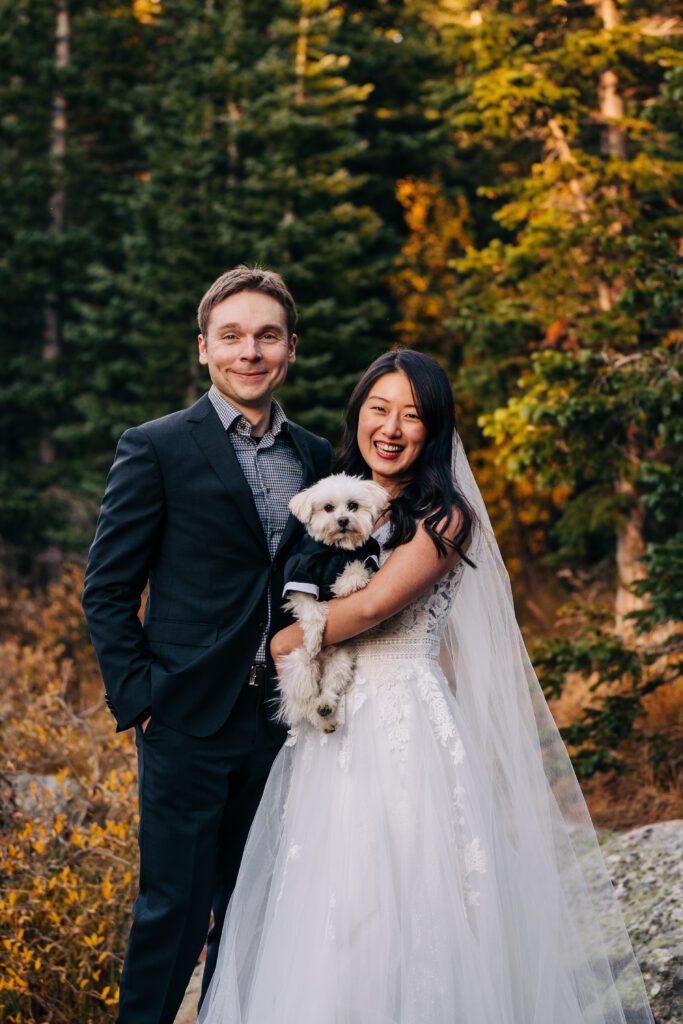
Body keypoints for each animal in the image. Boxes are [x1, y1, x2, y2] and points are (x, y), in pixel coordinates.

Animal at [274, 475, 387, 733]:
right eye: (328, 508)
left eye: (353, 506)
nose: (343, 519)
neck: (336, 549)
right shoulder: (300, 574)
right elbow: (312, 610)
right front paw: (314, 639)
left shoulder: (367, 555)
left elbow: (358, 567)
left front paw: (345, 584)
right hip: (300, 665)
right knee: (307, 701)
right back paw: (321, 715)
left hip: (340, 661)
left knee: (328, 688)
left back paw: (326, 708)